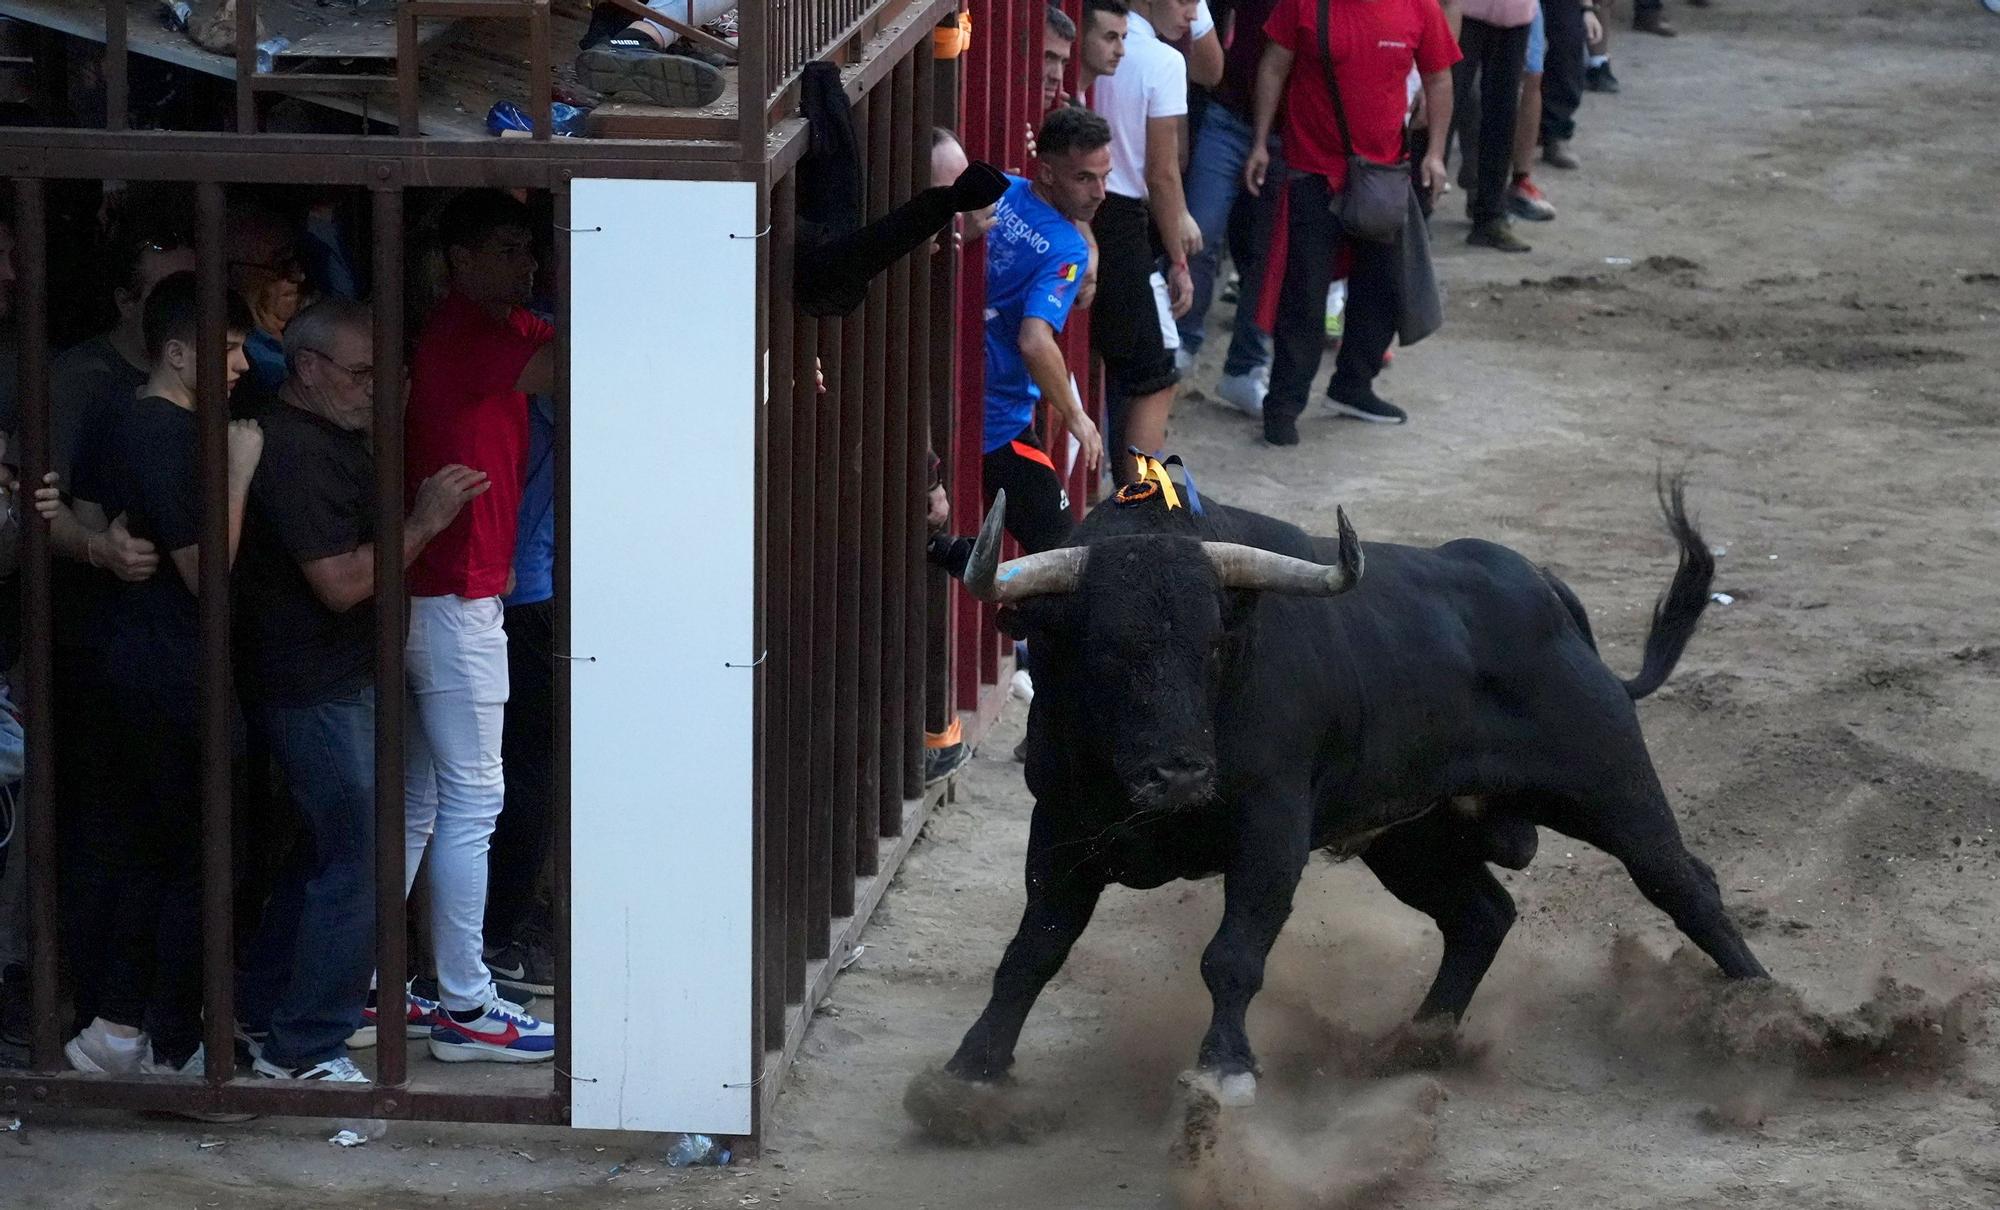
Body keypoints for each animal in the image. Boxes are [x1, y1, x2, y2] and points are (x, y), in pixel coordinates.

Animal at [936, 482, 1768, 1096]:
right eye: (1104, 650)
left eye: (1214, 642)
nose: (1181, 774)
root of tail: (1548, 595)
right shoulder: (1059, 830)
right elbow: (1032, 952)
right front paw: (970, 1071)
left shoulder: (1271, 827)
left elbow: (1233, 953)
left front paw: (1225, 1068)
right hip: (1413, 839)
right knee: (1482, 916)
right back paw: (1413, 1045)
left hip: (1608, 784)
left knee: (1681, 882)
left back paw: (1769, 1017)